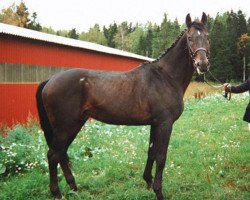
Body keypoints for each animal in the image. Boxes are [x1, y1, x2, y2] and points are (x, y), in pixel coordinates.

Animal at [36, 12, 210, 200]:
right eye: (190, 38)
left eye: (207, 36)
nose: (202, 65)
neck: (165, 77)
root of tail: (49, 81)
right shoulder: (165, 123)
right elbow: (161, 156)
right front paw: (158, 191)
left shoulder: (155, 123)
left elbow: (151, 152)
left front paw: (148, 181)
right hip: (66, 127)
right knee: (53, 155)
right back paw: (57, 193)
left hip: (73, 125)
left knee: (61, 154)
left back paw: (74, 187)